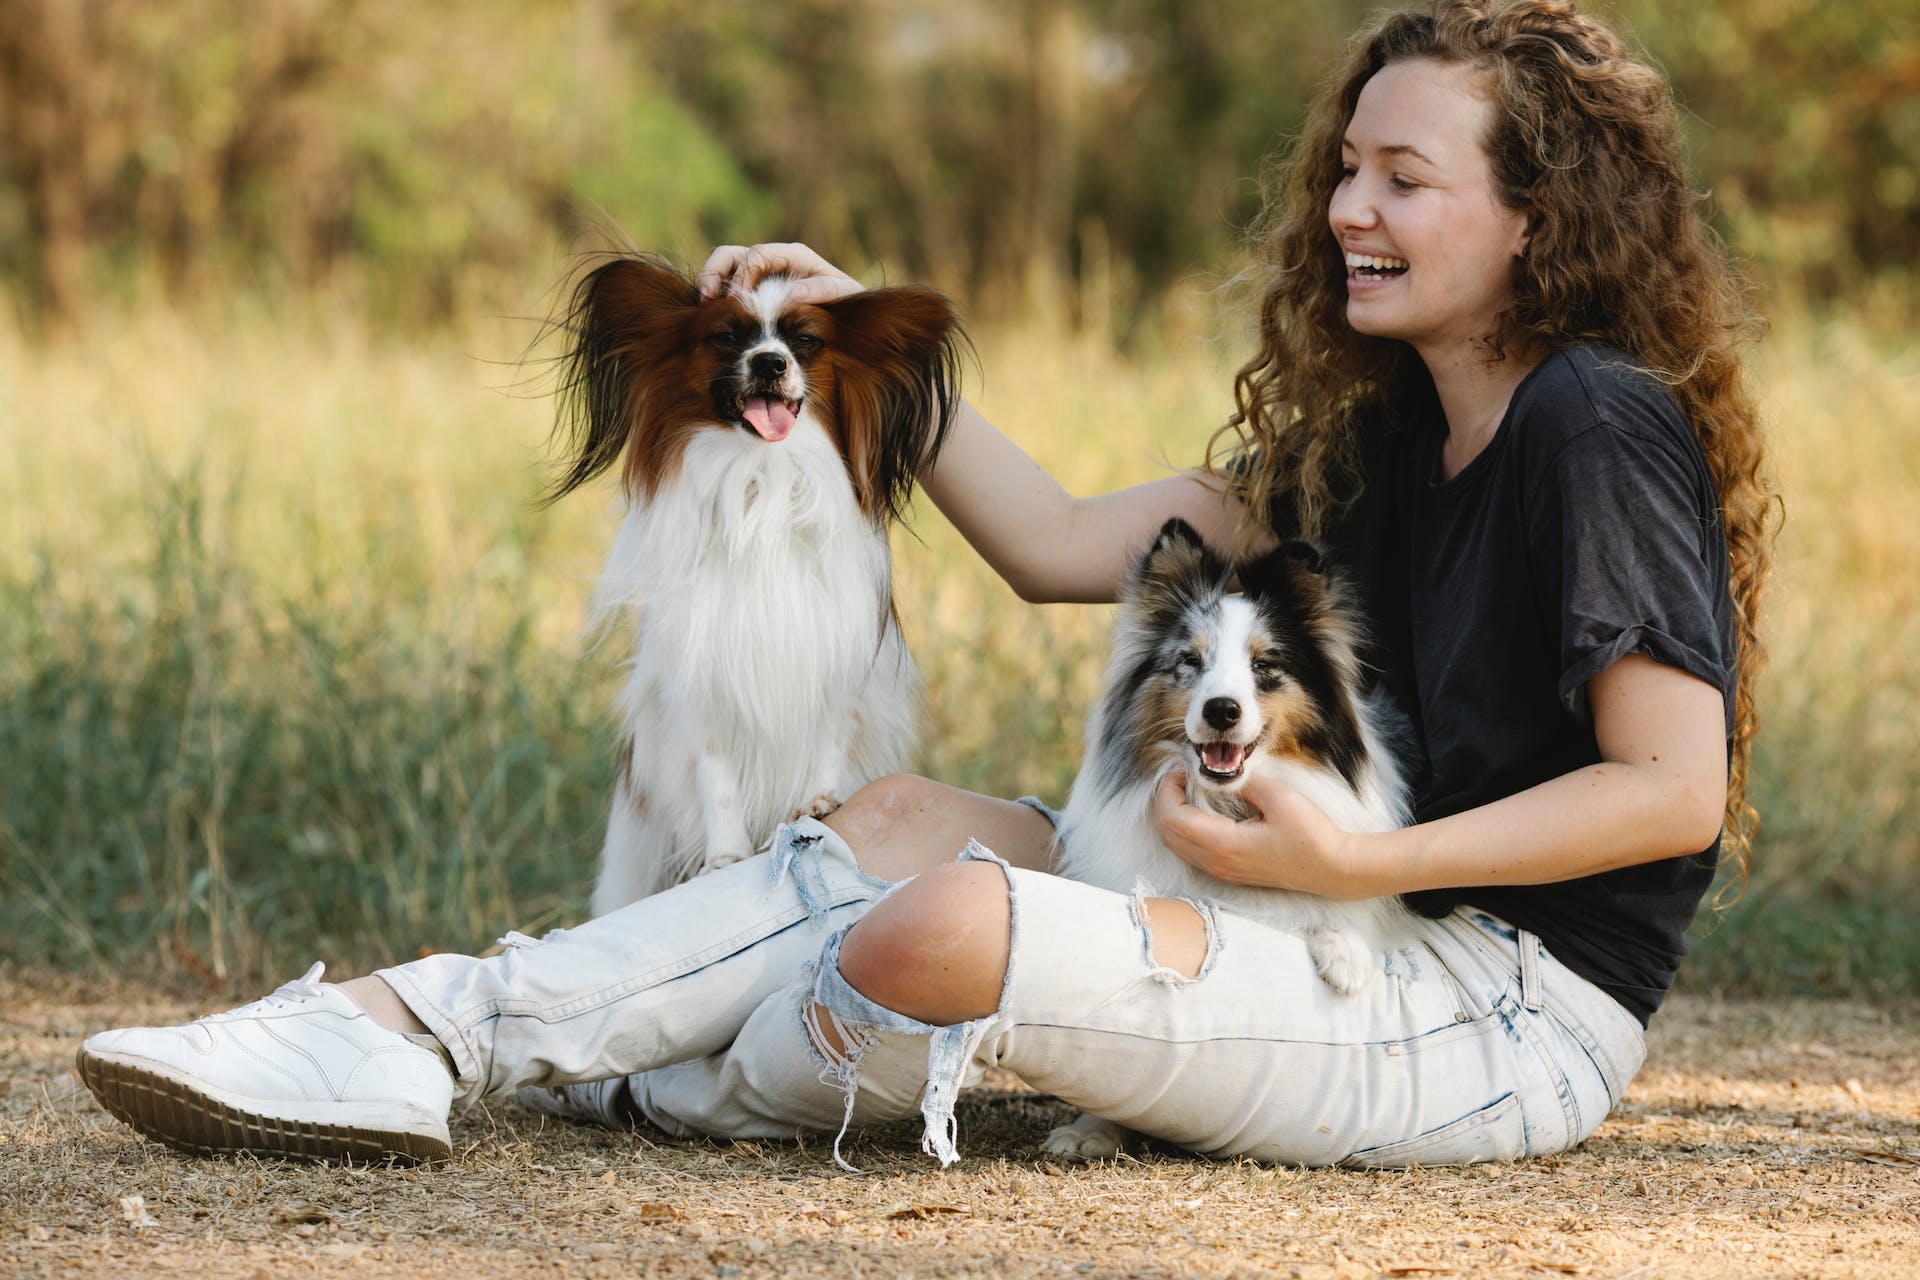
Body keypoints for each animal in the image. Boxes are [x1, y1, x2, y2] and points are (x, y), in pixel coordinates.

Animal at [552, 253, 975, 909]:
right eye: (727, 337)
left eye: (806, 342)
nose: (770, 362)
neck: (762, 476)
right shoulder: (700, 675)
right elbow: (716, 774)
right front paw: (723, 857)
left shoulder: (835, 658)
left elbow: (827, 738)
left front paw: (820, 801)